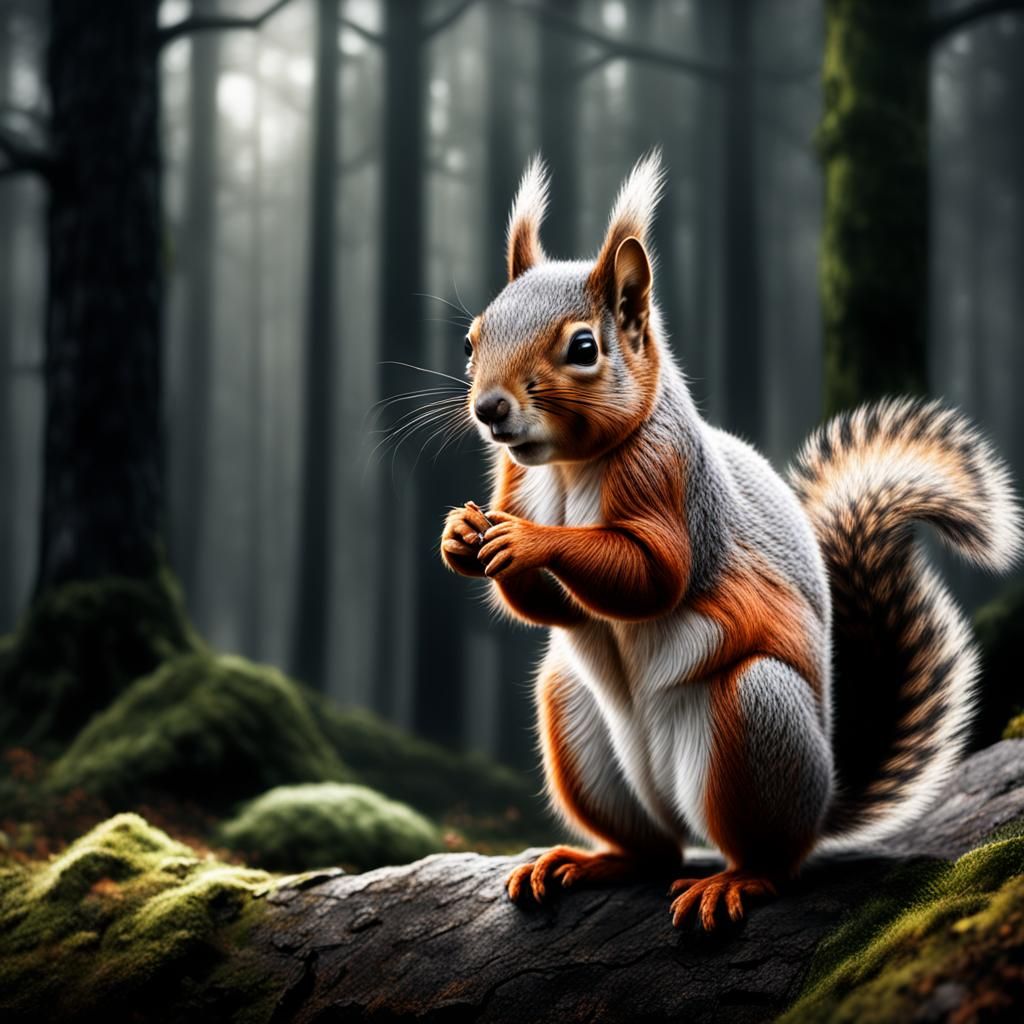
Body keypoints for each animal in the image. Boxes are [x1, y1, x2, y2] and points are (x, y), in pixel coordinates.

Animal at [439, 152, 1023, 930]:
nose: (490, 410)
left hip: (752, 719)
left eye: (584, 347)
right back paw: (587, 862)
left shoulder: (672, 487)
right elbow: (551, 609)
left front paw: (530, 540)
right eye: (471, 339)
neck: (563, 466)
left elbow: (651, 575)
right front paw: (459, 536)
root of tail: (821, 802)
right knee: (650, 851)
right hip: (576, 721)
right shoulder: (515, 480)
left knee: (771, 856)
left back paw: (734, 881)